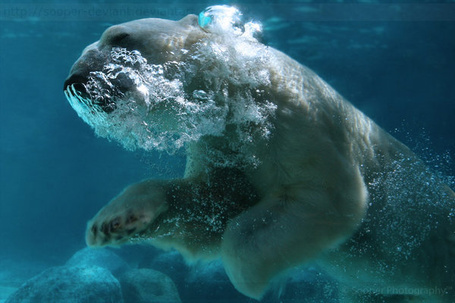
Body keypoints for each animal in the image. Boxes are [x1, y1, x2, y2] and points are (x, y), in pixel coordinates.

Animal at [65, 5, 455, 303]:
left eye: (120, 37)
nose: (74, 81)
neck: (238, 90)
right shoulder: (219, 140)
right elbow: (212, 203)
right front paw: (112, 222)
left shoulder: (295, 120)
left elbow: (327, 197)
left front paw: (254, 281)